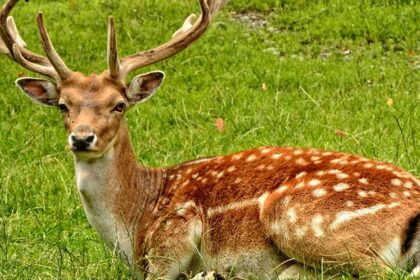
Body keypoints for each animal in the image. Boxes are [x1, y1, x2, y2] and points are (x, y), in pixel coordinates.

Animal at [0, 0, 420, 278]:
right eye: (63, 105)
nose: (82, 138)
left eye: (118, 105)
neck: (134, 220)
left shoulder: (173, 236)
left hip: (299, 217)